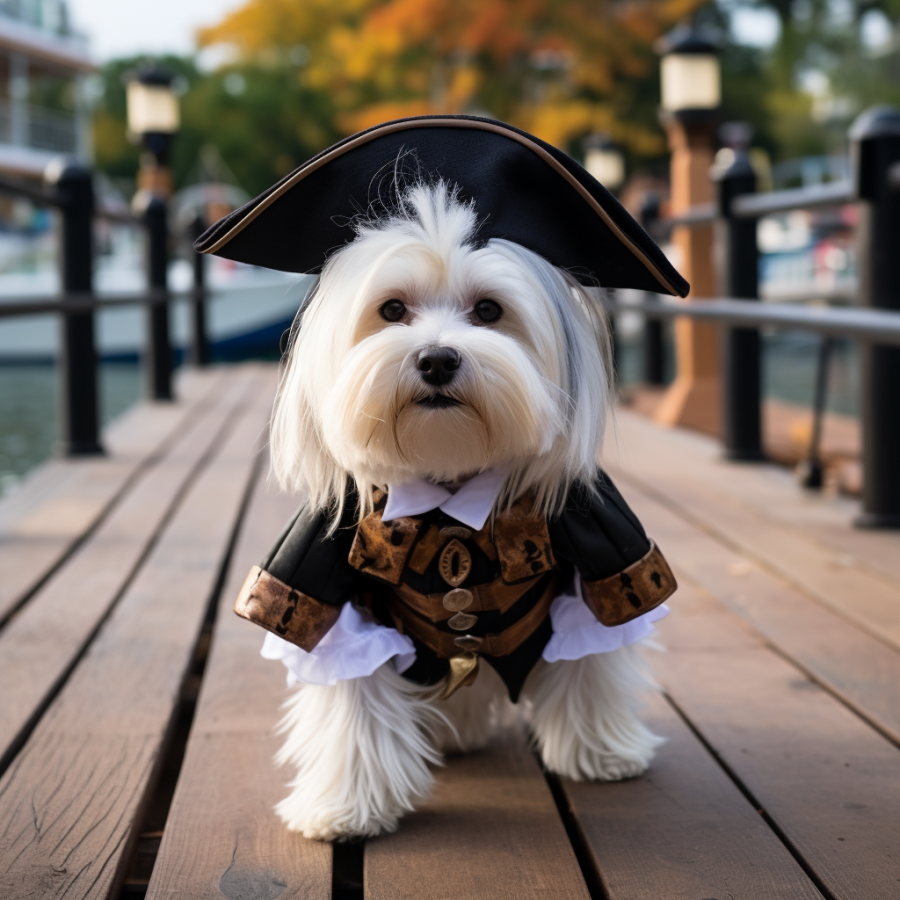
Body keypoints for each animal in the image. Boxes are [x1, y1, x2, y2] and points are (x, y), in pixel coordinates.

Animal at [262, 185, 660, 844]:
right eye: (392, 309)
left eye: (490, 311)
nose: (438, 360)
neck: (450, 493)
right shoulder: (329, 581)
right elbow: (352, 691)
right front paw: (346, 807)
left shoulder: (596, 542)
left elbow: (593, 644)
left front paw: (604, 752)